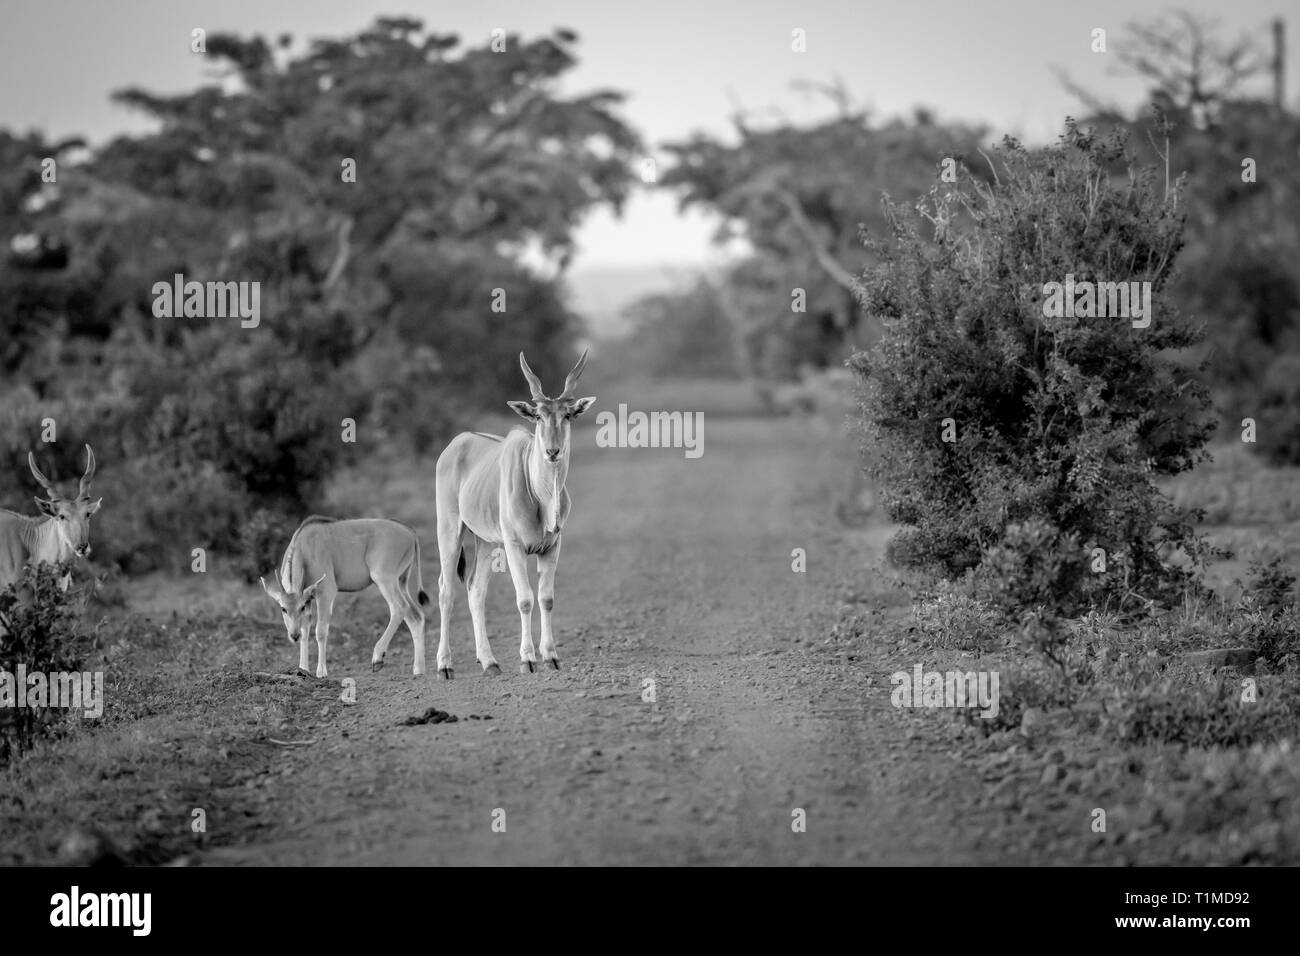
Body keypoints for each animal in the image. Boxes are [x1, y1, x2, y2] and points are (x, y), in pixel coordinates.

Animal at [260, 515, 431, 681]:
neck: (304, 549)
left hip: (384, 579)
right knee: (415, 616)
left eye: (300, 607)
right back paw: (418, 669)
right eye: (283, 609)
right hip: (401, 582)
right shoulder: (308, 599)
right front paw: (303, 669)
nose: (293, 636)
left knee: (399, 608)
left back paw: (378, 657)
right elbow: (305, 630)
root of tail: (410, 532)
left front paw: (321, 672)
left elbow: (320, 631)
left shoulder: (326, 593)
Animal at [436, 351, 598, 681]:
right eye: (538, 416)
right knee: (446, 590)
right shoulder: (514, 547)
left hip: (485, 542)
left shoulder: (552, 547)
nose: (552, 451)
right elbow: (524, 599)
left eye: (567, 415)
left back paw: (489, 662)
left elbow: (546, 598)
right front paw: (528, 659)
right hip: (449, 530)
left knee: (475, 589)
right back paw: (444, 665)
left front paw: (551, 657)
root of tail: (455, 445)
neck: (541, 496)